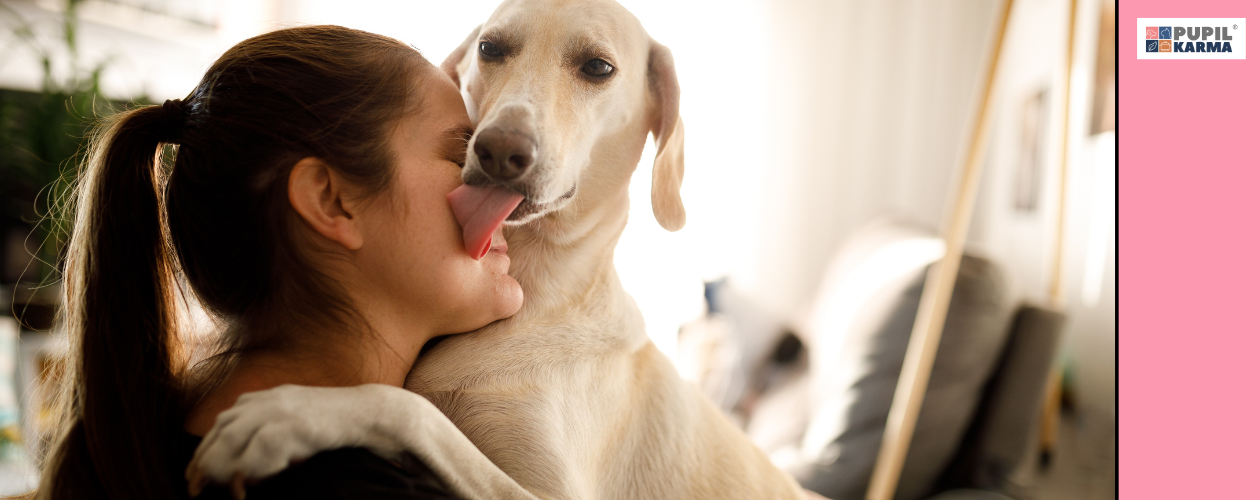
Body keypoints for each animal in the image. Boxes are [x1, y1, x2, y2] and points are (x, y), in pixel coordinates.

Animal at [187, 1, 816, 496]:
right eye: (491, 47)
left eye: (598, 67)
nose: (499, 151)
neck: (534, 290)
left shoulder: (545, 493)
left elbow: (414, 411)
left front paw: (294, 413)